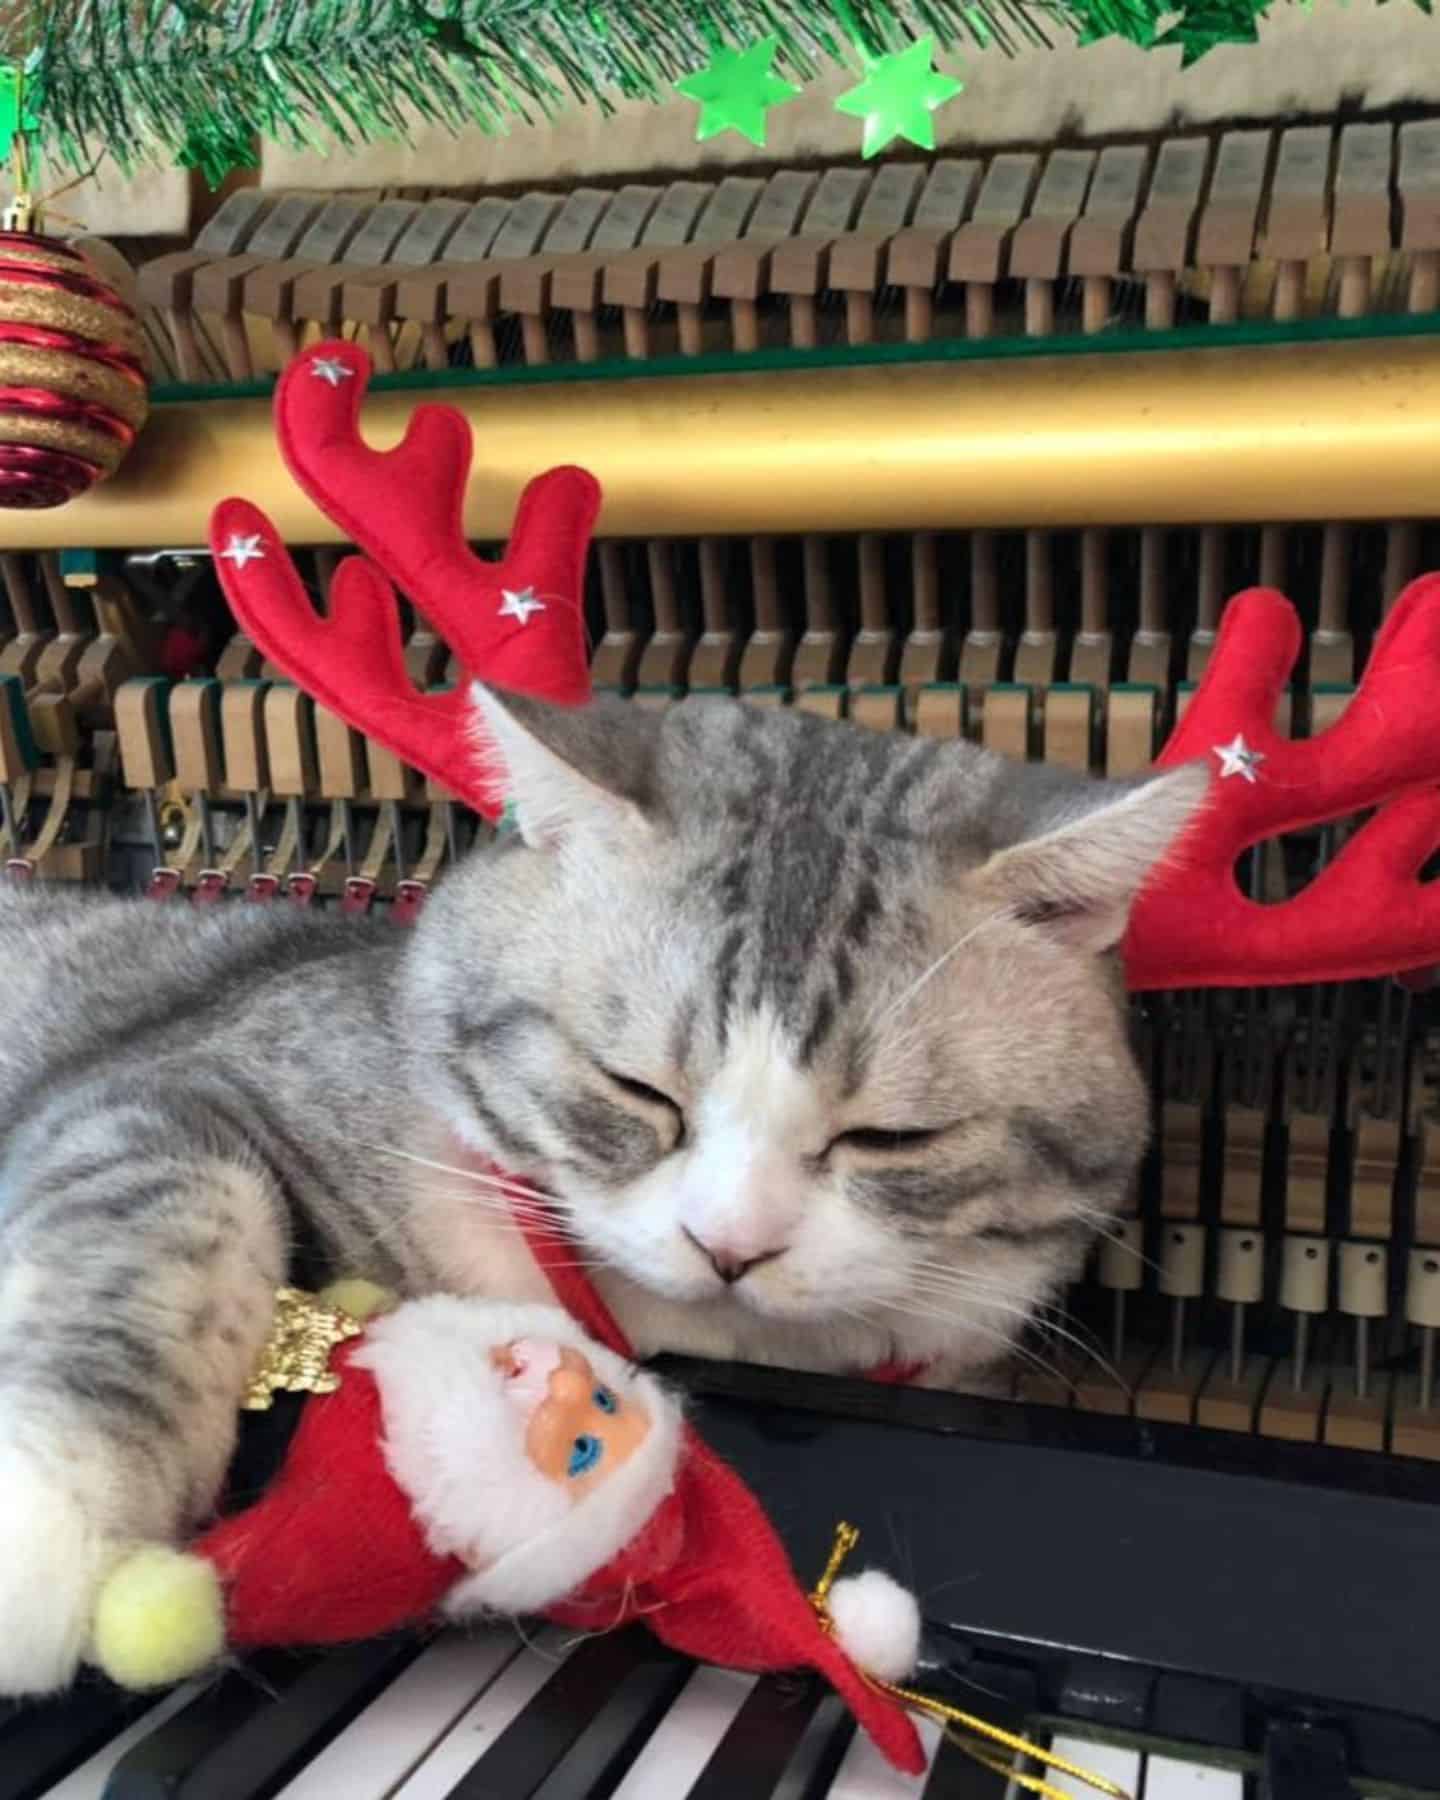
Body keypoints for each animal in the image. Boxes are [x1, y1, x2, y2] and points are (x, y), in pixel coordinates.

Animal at [0, 680, 1202, 1692]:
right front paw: (44, 1531)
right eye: (635, 1089)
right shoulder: (173, 1085)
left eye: (890, 1139)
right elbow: (168, 1235)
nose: (731, 1247)